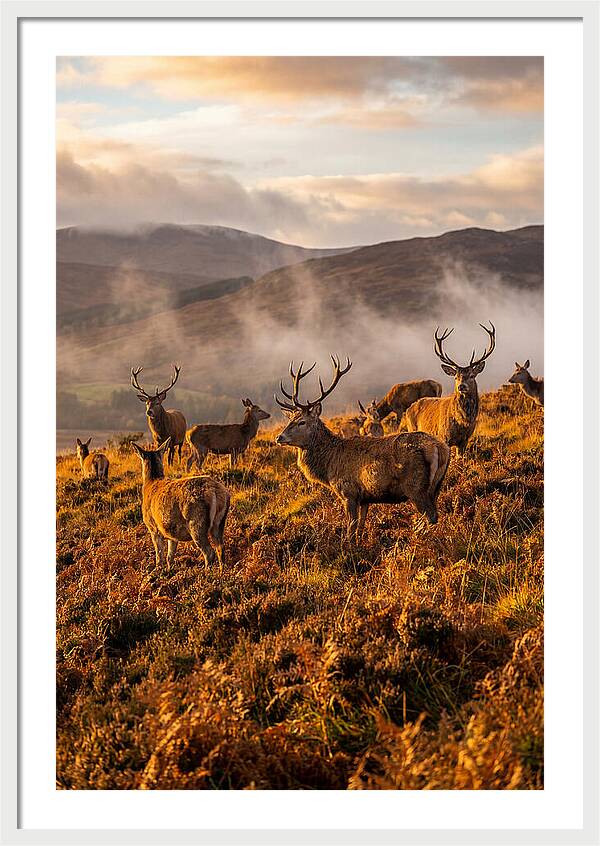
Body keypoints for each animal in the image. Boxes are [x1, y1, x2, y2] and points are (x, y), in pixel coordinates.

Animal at [132, 438, 230, 573]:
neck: (151, 483)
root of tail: (216, 492)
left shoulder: (153, 527)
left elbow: (159, 556)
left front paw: (158, 571)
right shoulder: (170, 532)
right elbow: (170, 556)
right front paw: (169, 570)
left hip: (196, 522)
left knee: (209, 552)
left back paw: (206, 573)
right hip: (219, 522)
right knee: (220, 547)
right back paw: (221, 572)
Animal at [274, 356, 450, 542]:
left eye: (302, 422)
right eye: (290, 420)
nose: (279, 437)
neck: (328, 467)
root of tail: (440, 448)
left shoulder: (348, 492)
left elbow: (351, 528)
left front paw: (348, 546)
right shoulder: (365, 498)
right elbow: (360, 526)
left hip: (416, 486)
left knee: (431, 516)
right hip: (437, 485)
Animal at [403, 323, 496, 455]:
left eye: (472, 375)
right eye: (456, 377)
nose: (461, 386)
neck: (463, 423)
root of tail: (408, 409)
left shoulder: (465, 440)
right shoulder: (444, 436)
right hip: (412, 428)